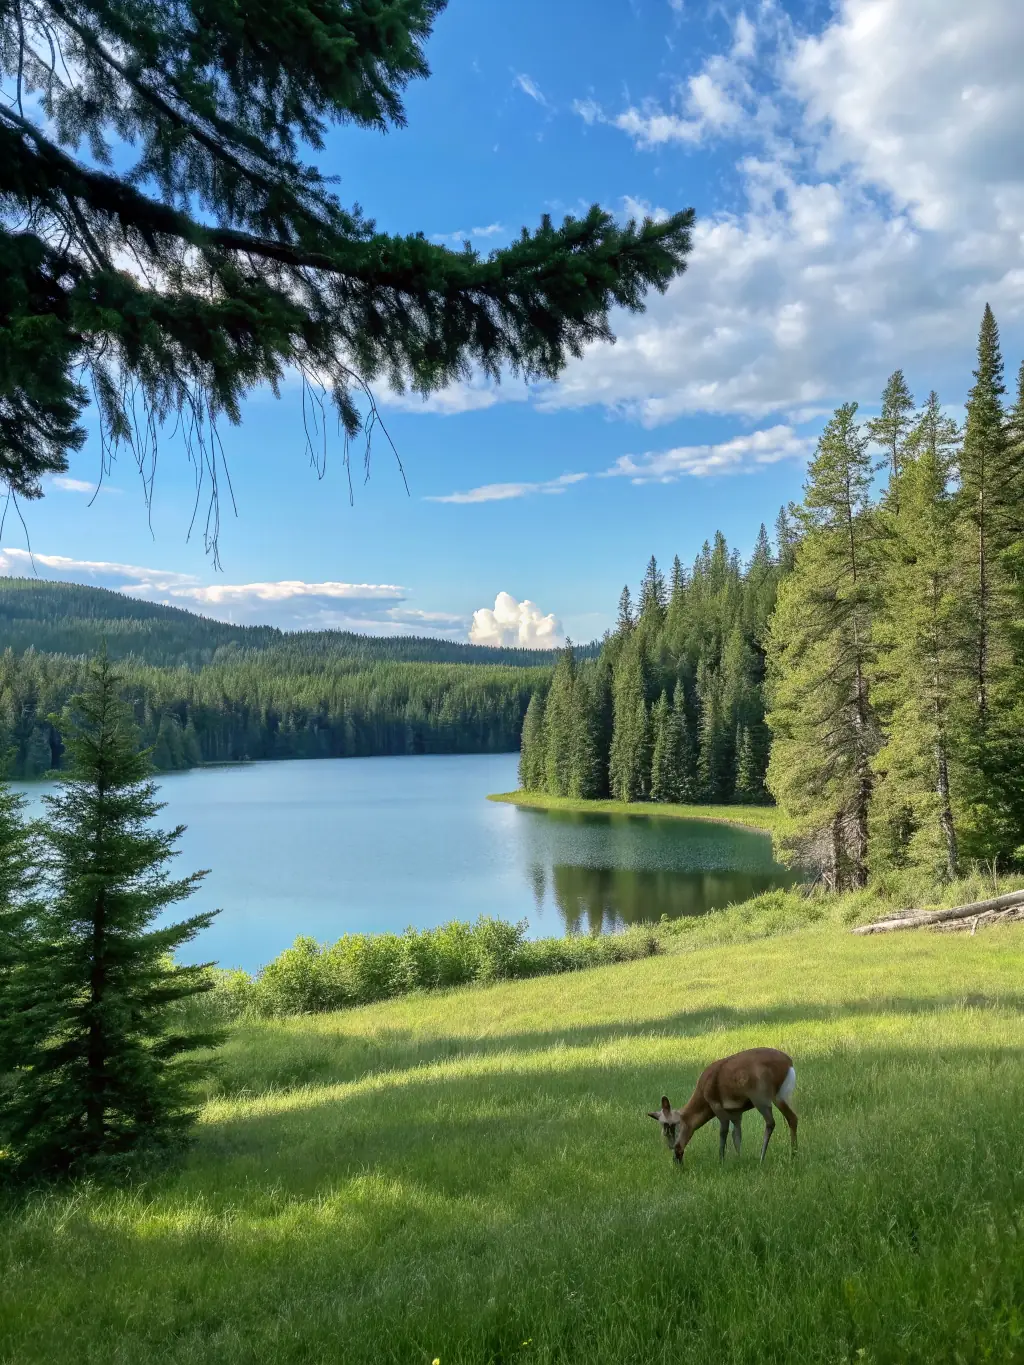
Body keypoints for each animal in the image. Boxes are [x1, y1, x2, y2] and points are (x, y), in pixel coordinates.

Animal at [648, 1047, 797, 1166]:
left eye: (672, 1125)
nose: (676, 1155)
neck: (703, 1098)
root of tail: (789, 1064)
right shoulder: (737, 1112)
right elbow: (737, 1135)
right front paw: (739, 1158)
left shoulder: (716, 1105)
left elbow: (723, 1132)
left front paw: (721, 1160)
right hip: (781, 1096)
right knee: (793, 1118)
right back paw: (794, 1154)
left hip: (760, 1096)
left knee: (771, 1122)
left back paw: (762, 1158)